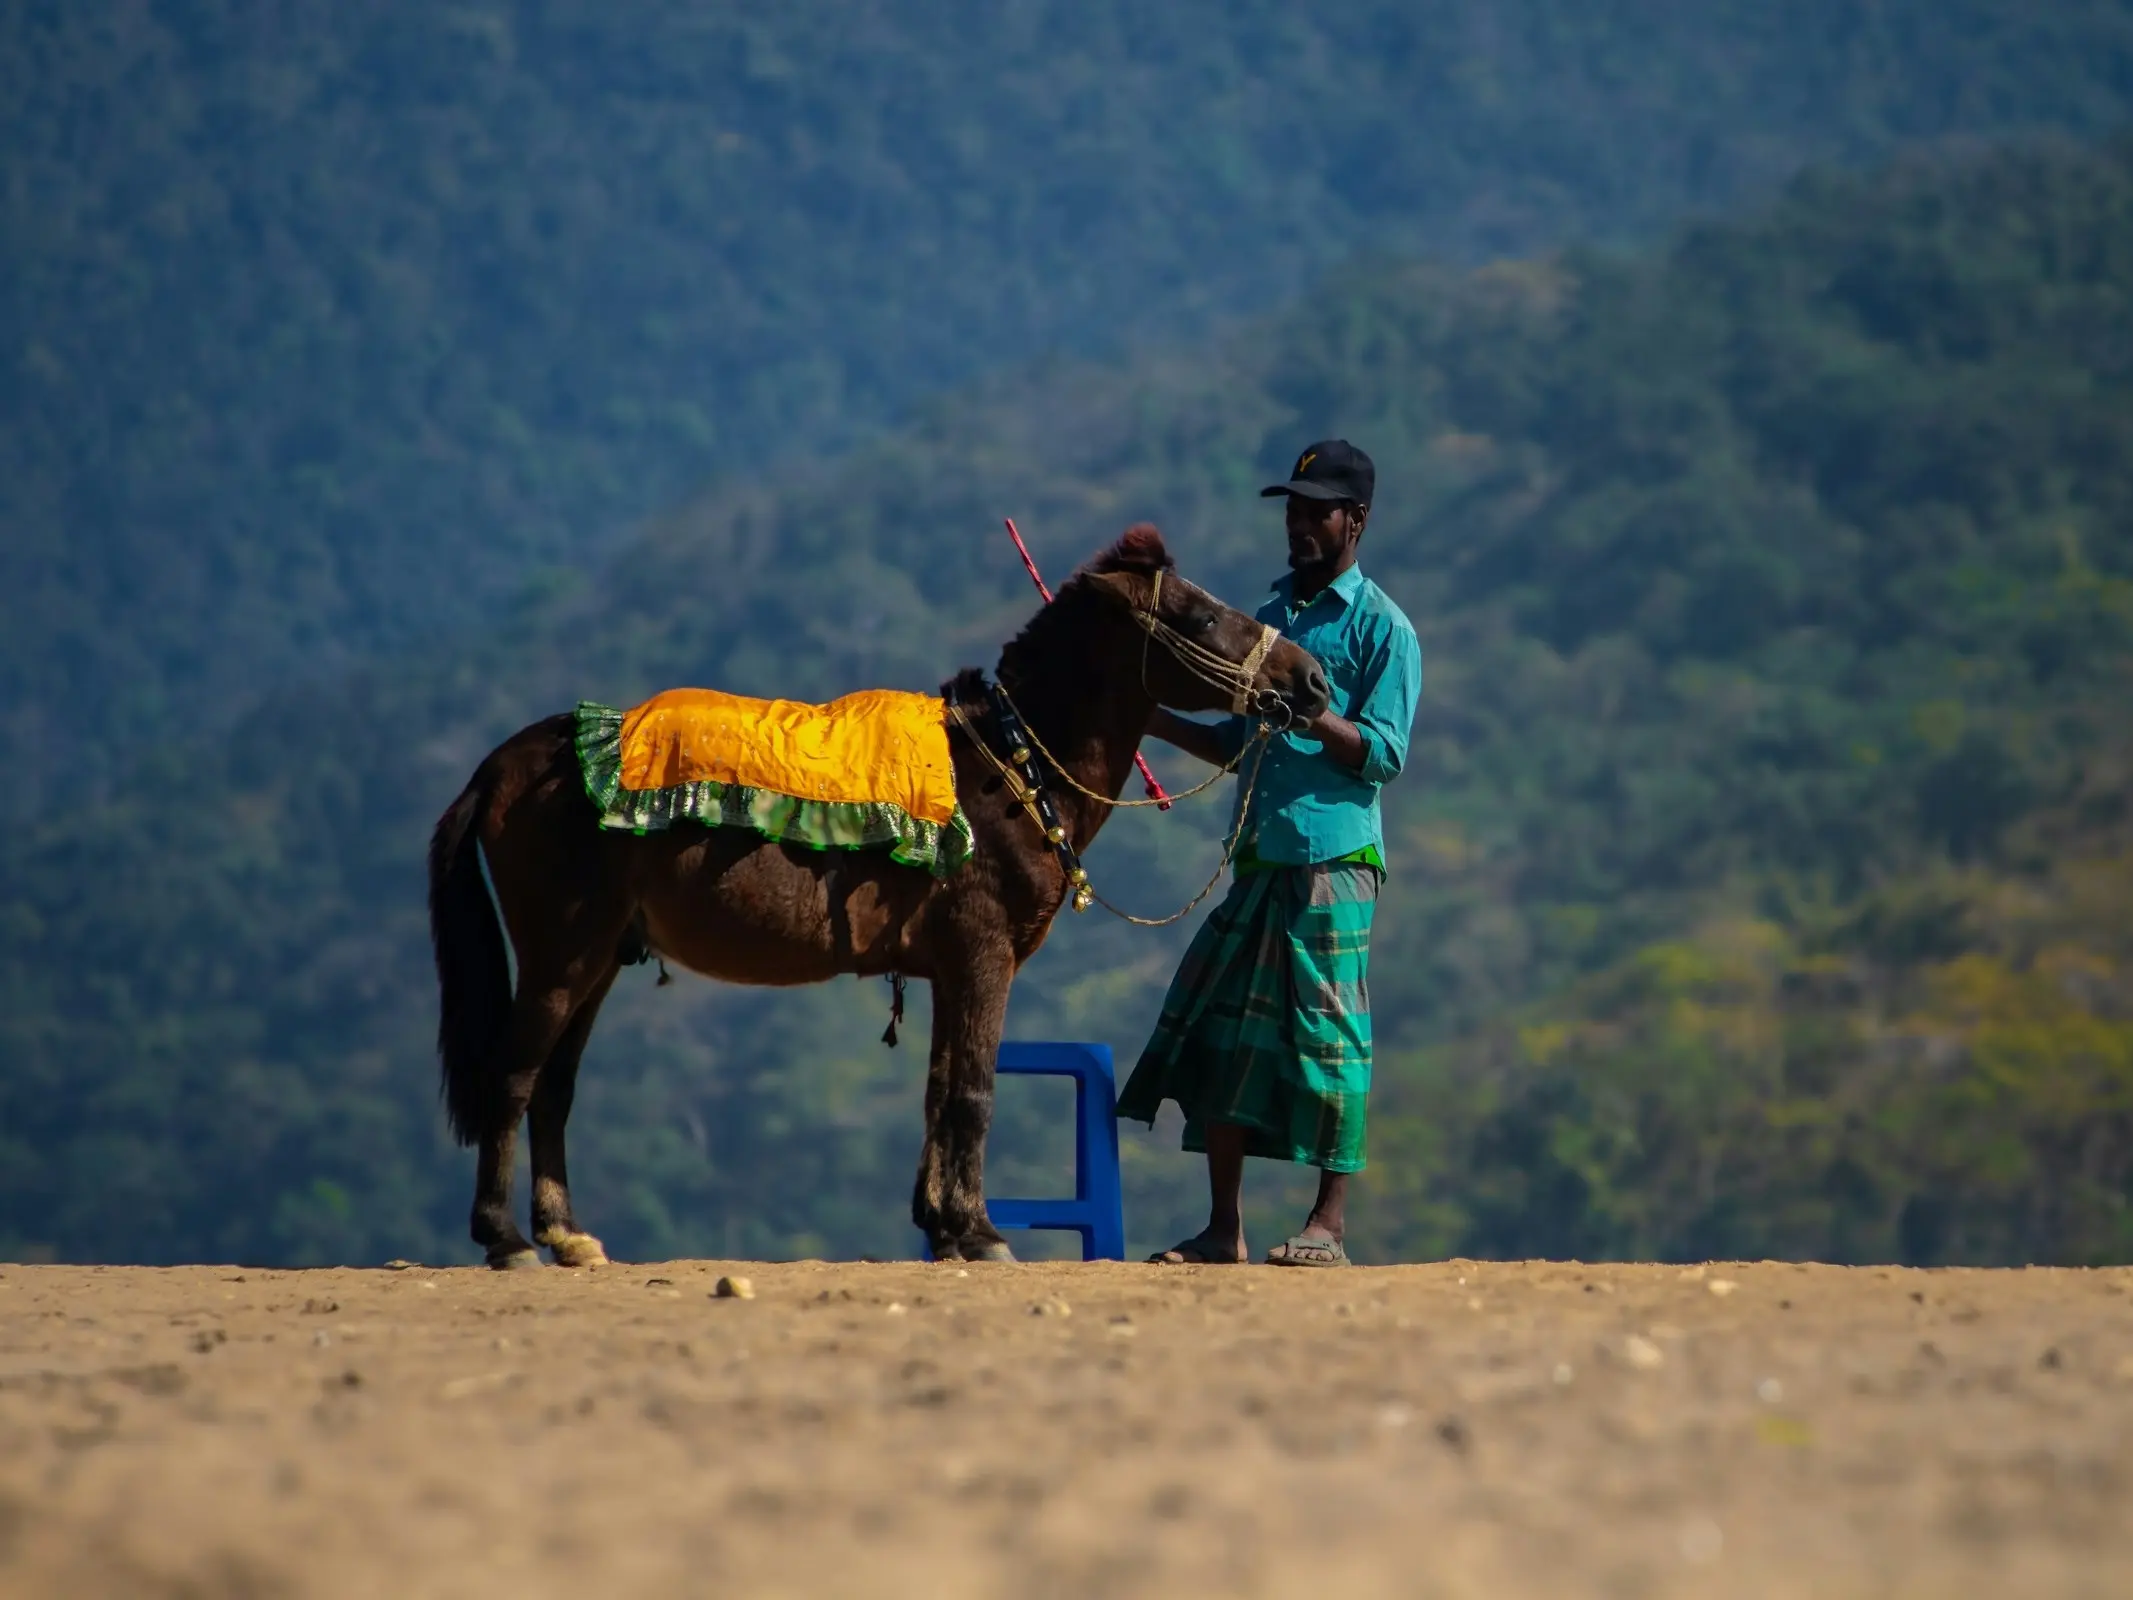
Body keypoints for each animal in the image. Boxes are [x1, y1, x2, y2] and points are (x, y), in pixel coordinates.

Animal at [426, 524, 1330, 1266]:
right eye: (1200, 617)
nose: (1314, 680)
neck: (1006, 768)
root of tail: (503, 765)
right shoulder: (983, 957)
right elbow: (972, 1093)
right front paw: (980, 1231)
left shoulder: (947, 969)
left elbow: (939, 1091)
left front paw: (944, 1224)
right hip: (561, 954)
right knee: (514, 1076)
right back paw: (506, 1240)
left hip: (598, 958)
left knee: (554, 1086)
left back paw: (563, 1233)